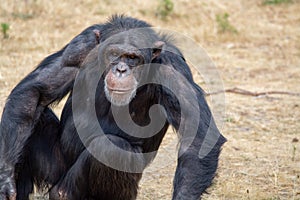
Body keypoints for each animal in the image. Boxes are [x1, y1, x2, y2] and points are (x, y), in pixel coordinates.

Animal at [0, 16, 225, 200]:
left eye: (133, 58)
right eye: (113, 54)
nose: (121, 69)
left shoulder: (173, 68)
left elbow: (197, 135)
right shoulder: (79, 47)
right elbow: (35, 91)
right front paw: (5, 180)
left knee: (112, 149)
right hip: (55, 167)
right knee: (33, 115)